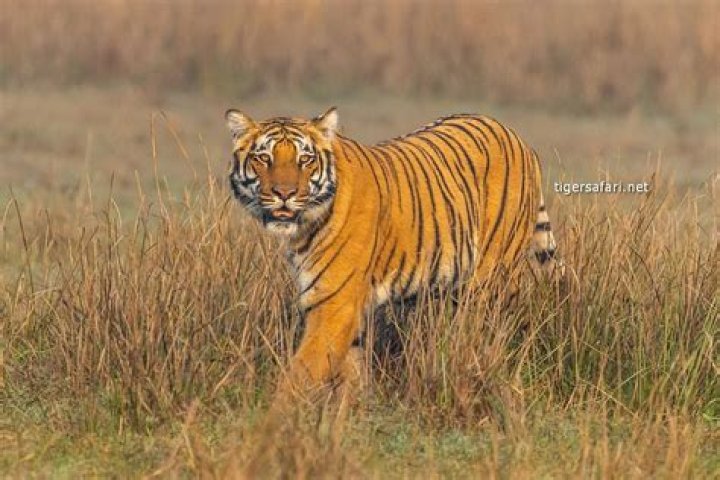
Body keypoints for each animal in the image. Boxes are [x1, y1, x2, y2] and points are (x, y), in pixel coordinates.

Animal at [225, 107, 561, 401]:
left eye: (305, 160)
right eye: (263, 158)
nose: (284, 194)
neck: (304, 228)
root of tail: (518, 138)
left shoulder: (334, 304)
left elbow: (301, 371)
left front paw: (274, 420)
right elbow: (352, 372)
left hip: (491, 281)